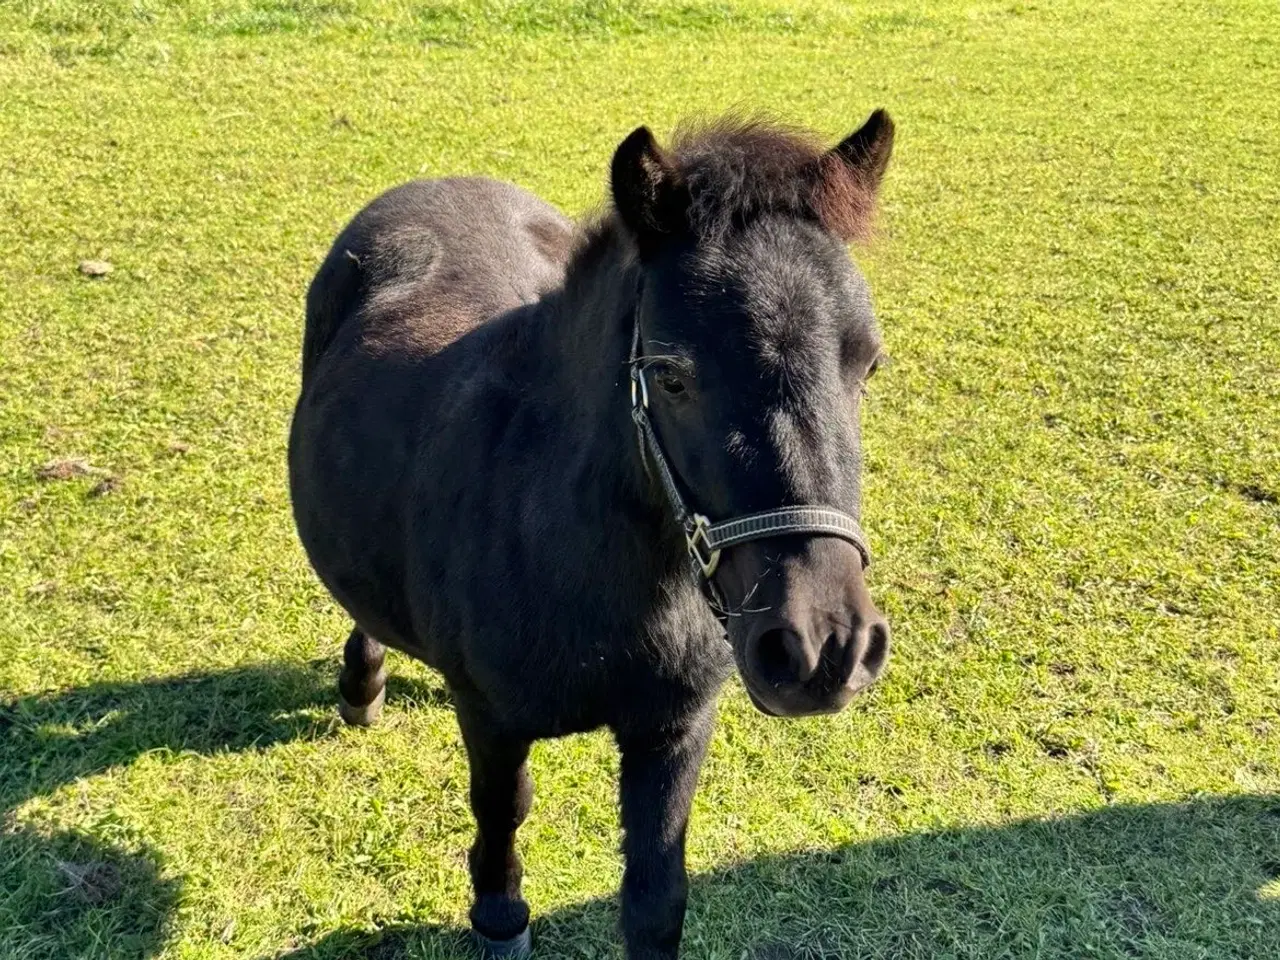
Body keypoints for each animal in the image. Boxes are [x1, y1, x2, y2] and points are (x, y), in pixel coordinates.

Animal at [288, 108, 896, 958]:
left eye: (867, 365)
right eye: (671, 376)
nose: (823, 648)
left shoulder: (674, 729)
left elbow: (654, 898)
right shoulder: (491, 718)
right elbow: (502, 811)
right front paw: (500, 916)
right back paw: (362, 687)